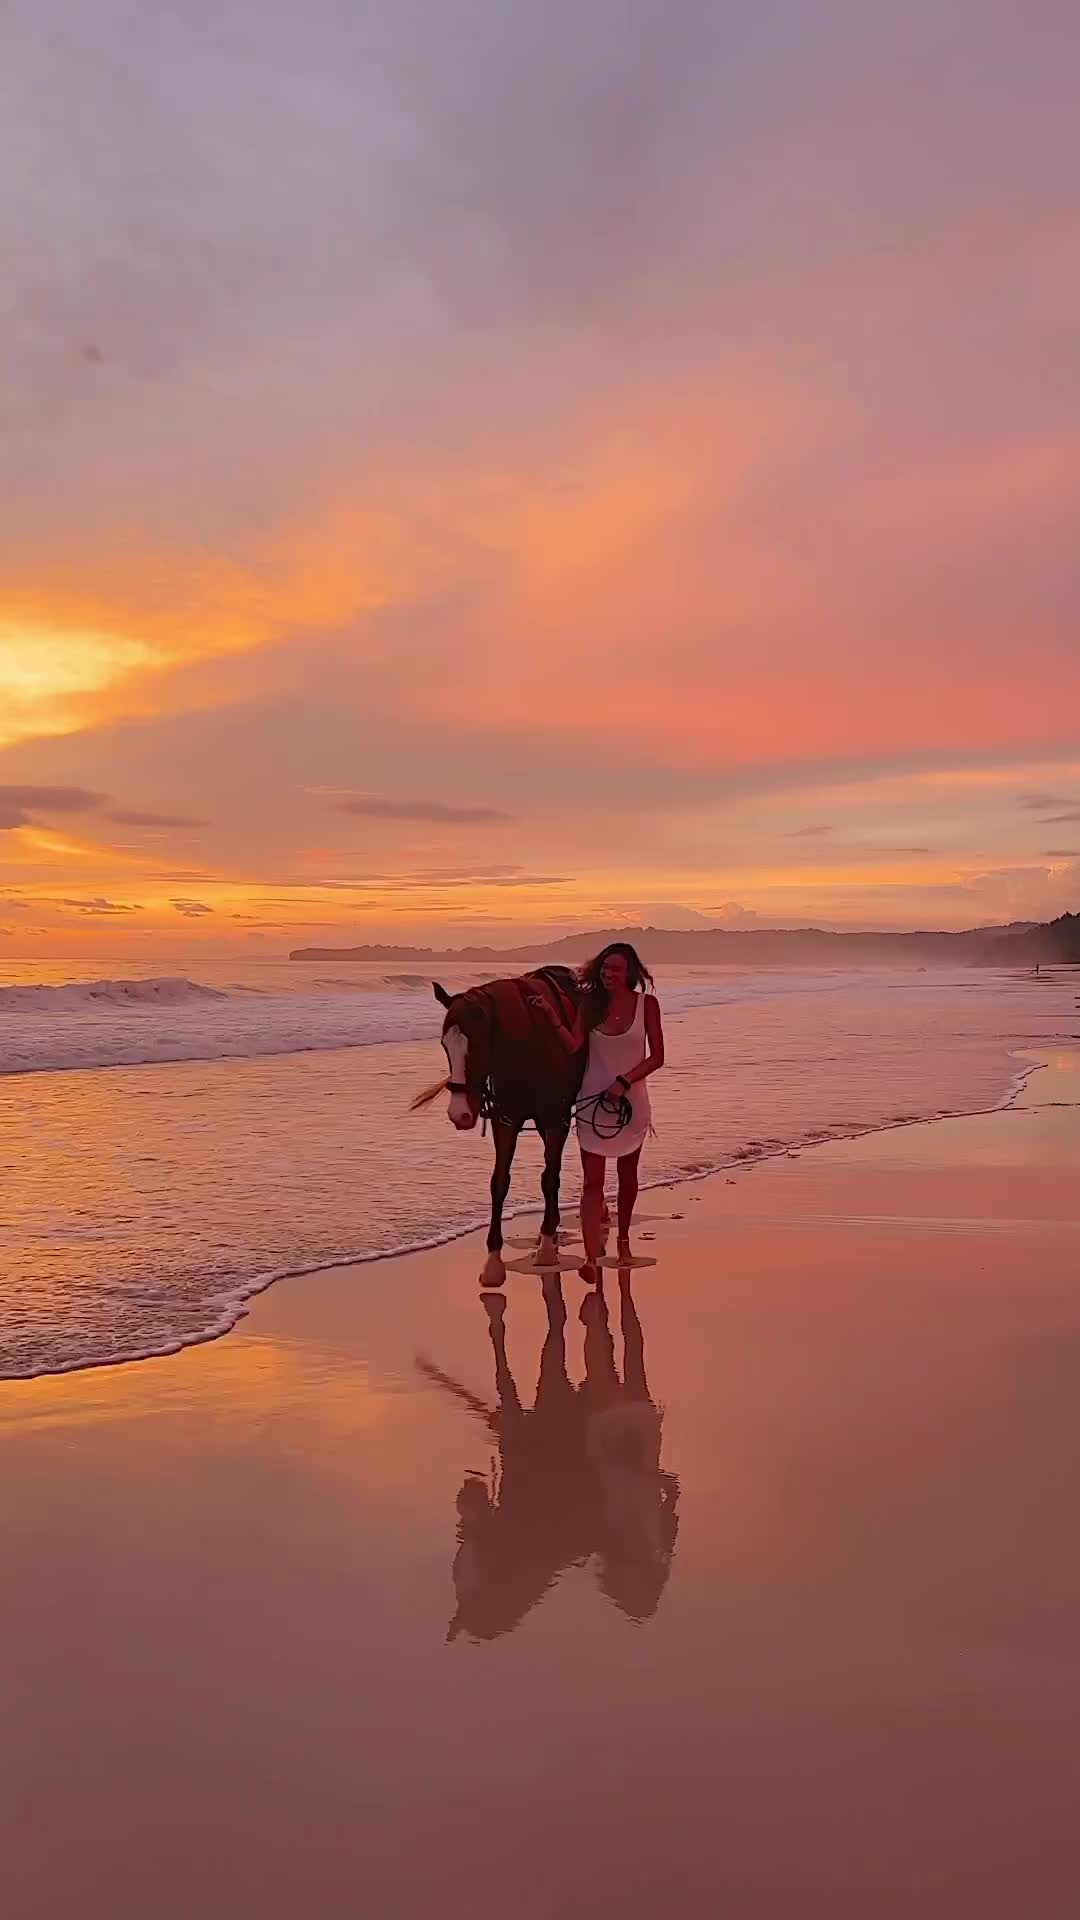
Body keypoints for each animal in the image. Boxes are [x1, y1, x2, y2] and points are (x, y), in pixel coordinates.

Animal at [409, 967, 580, 1282]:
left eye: (475, 1047)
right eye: (444, 1045)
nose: (459, 1113)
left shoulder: (555, 1120)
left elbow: (550, 1177)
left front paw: (546, 1246)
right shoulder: (506, 1120)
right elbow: (499, 1182)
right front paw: (493, 1261)